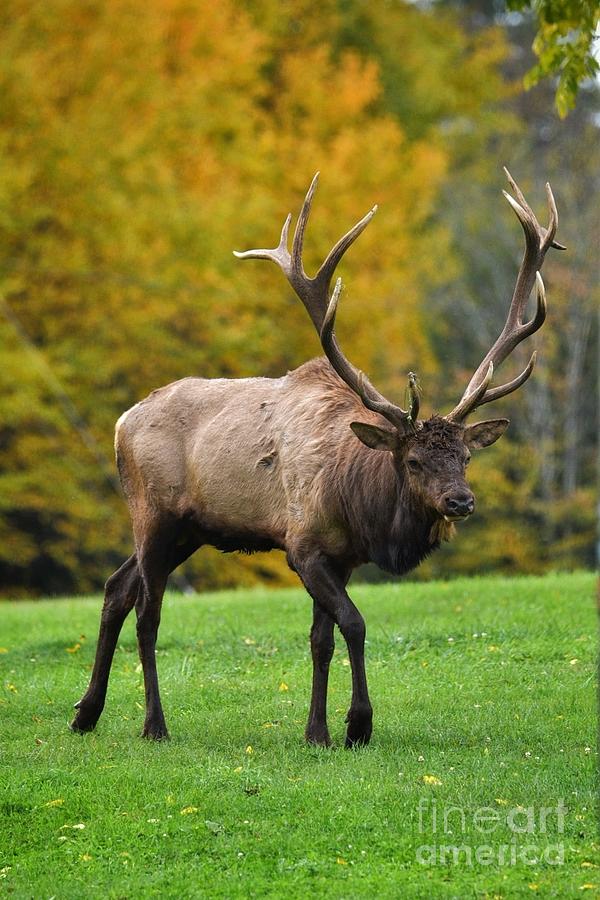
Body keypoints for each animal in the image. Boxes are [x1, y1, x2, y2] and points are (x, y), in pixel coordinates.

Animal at [71, 167, 564, 744]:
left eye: (465, 456)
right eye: (413, 461)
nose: (460, 502)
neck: (358, 504)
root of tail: (121, 422)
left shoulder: (341, 556)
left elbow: (319, 640)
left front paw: (316, 732)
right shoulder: (303, 545)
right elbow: (354, 624)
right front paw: (357, 725)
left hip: (189, 530)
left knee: (116, 588)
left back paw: (85, 713)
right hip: (153, 513)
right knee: (147, 613)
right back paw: (154, 725)